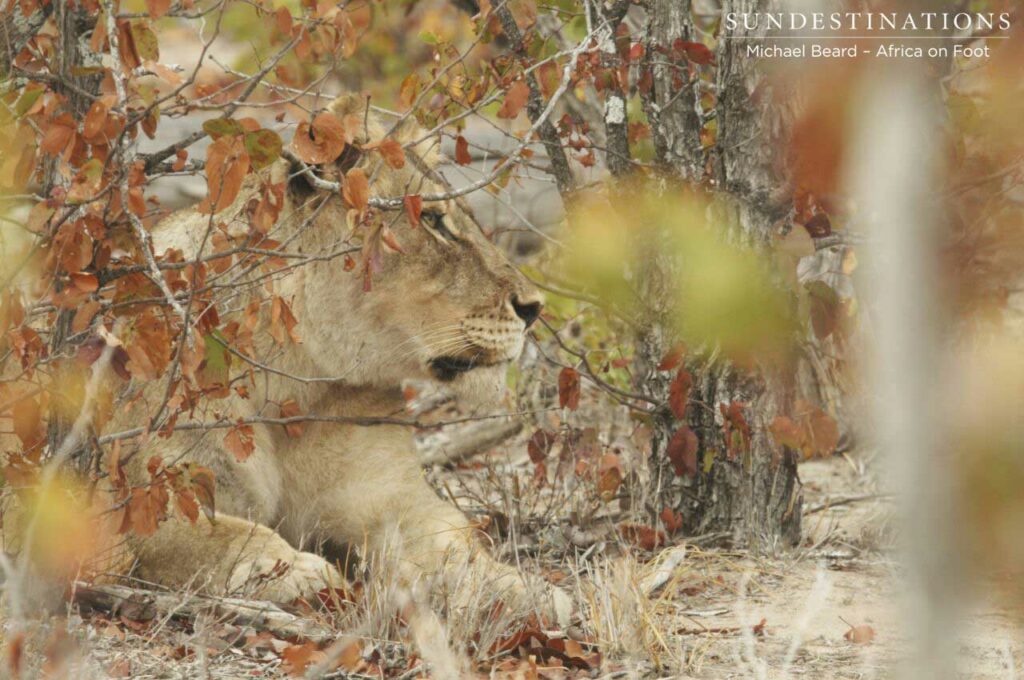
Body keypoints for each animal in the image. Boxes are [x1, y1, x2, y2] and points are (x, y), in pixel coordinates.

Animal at [3, 95, 570, 624]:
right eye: (432, 221)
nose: (535, 308)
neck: (298, 386)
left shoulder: (394, 497)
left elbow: (458, 540)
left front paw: (529, 591)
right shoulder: (121, 506)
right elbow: (221, 538)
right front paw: (300, 573)